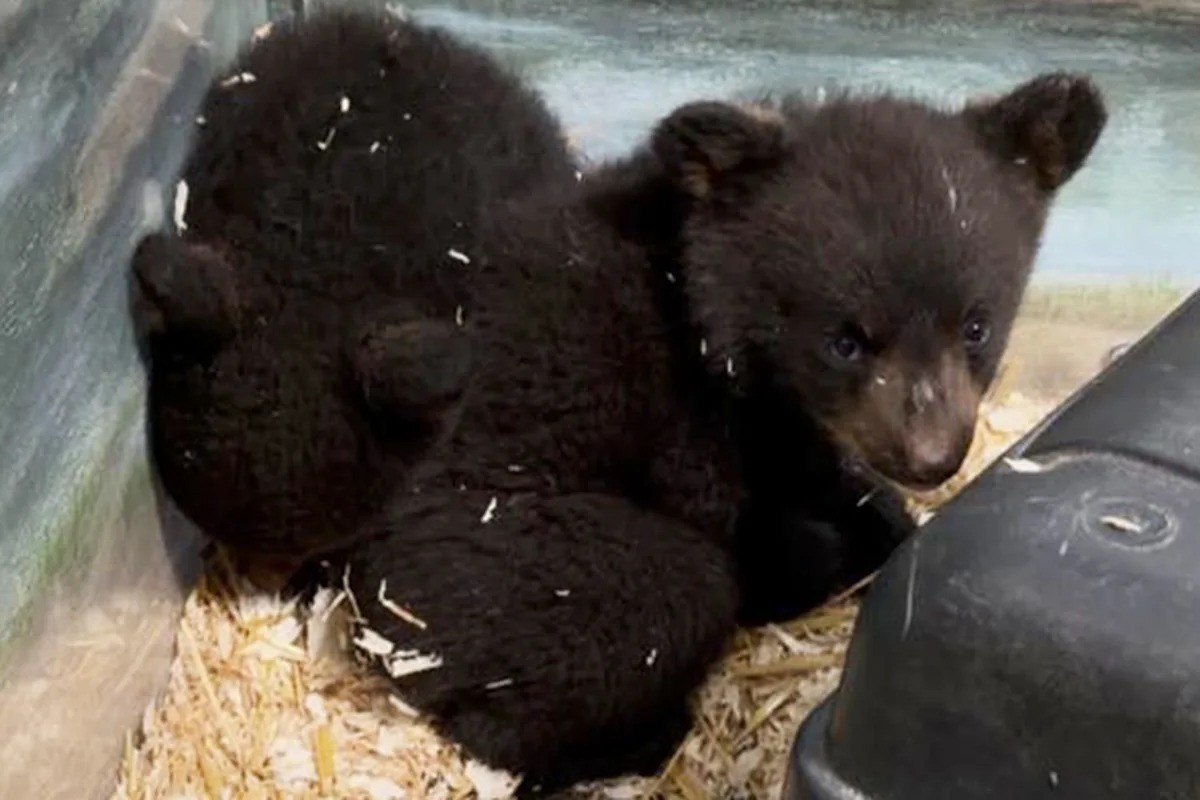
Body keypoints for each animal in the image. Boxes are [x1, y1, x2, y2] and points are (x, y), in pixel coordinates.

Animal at [296, 73, 1108, 797]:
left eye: (976, 326)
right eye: (844, 341)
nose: (932, 457)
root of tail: (353, 599)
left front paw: (882, 519)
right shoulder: (689, 419)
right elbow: (752, 525)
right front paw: (827, 553)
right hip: (506, 561)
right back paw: (638, 738)